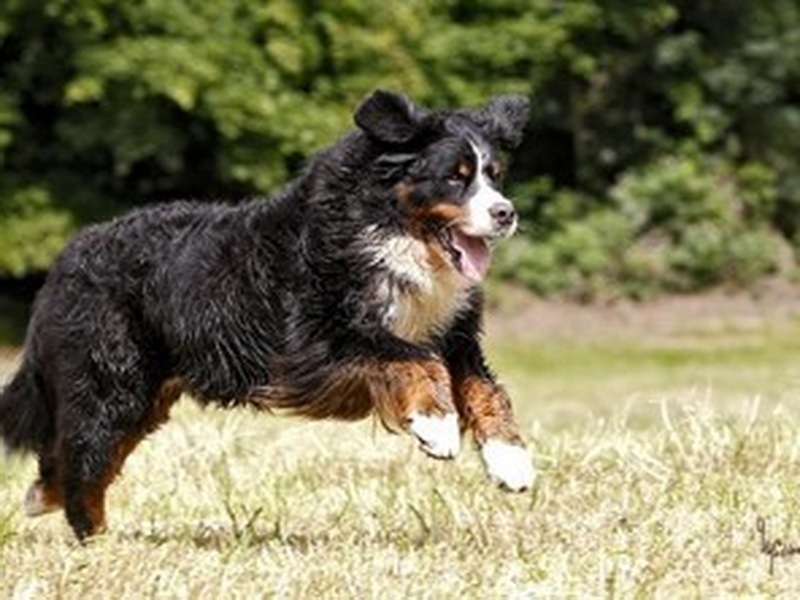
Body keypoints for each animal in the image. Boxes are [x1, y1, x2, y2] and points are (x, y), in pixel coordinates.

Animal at [0, 90, 534, 540]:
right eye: (455, 177)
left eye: (494, 174)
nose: (506, 212)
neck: (389, 233)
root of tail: (68, 255)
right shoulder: (317, 341)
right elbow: (413, 357)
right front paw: (435, 424)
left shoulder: (455, 334)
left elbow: (485, 389)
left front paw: (511, 460)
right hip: (113, 379)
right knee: (84, 459)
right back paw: (94, 537)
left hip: (143, 393)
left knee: (75, 456)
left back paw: (42, 499)